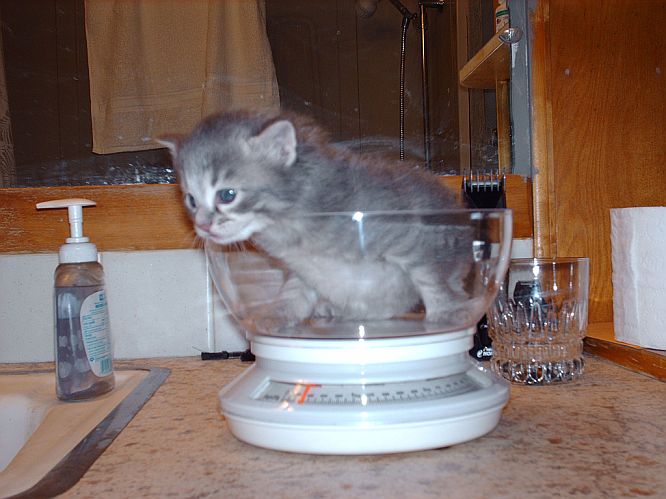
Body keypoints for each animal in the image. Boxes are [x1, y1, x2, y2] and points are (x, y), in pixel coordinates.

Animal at [158, 109, 473, 329]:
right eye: (191, 200)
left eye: (227, 195)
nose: (202, 225)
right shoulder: (302, 269)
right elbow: (292, 292)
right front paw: (276, 315)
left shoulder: (413, 237)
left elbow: (431, 276)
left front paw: (446, 311)